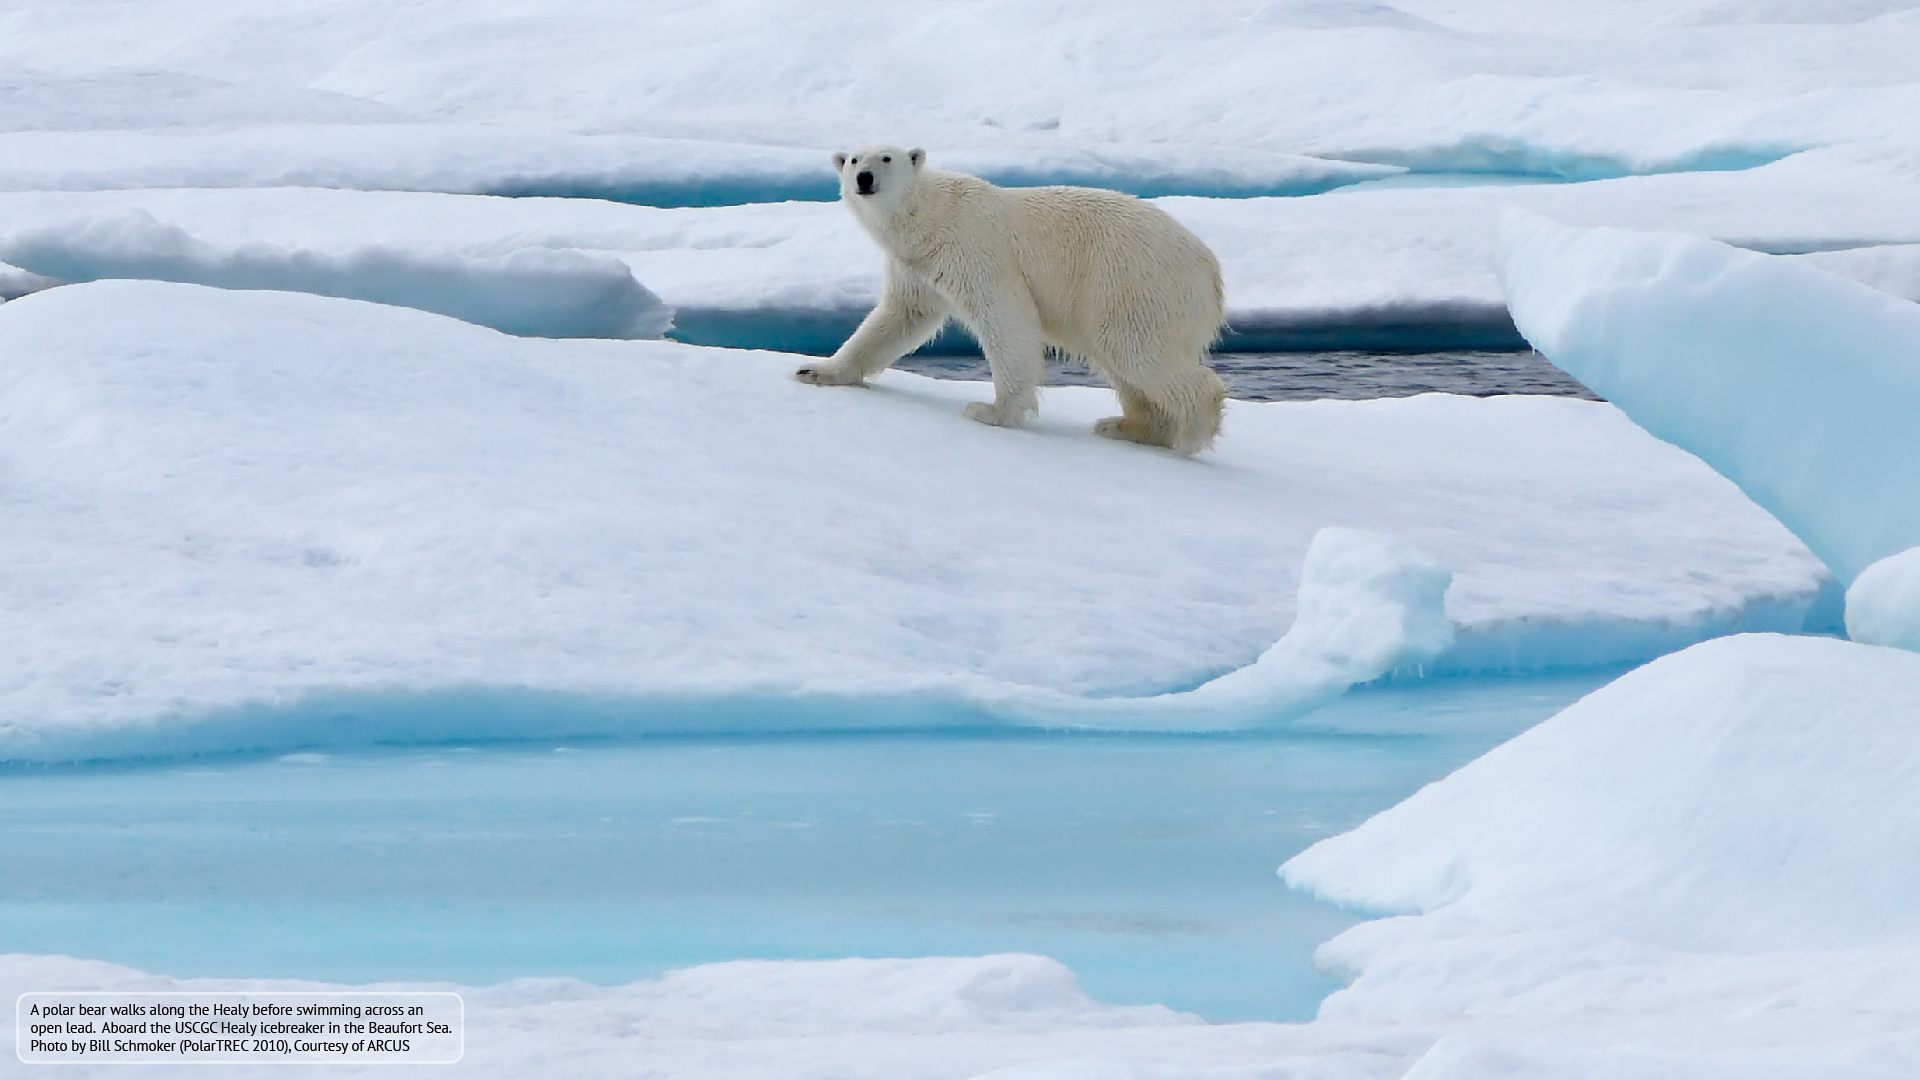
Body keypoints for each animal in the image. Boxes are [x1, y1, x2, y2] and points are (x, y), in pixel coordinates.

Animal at [798, 146, 1228, 449]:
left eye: (886, 157)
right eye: (854, 158)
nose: (864, 177)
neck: (930, 216)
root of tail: (1211, 271)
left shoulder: (974, 247)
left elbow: (1005, 317)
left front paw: (991, 411)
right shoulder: (915, 266)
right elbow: (898, 317)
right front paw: (817, 371)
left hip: (1136, 284)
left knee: (1136, 348)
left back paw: (1192, 432)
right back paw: (1127, 426)